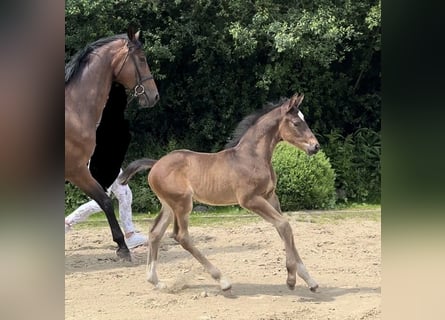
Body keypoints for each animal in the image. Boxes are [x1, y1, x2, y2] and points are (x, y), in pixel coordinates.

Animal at [64, 25, 158, 260]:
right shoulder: (77, 170)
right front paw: (122, 247)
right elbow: (105, 202)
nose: (154, 96)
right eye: (142, 59)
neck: (73, 110)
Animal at [118, 93, 320, 292]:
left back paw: (156, 281)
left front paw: (310, 280)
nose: (315, 146)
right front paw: (291, 279)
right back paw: (222, 280)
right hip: (182, 204)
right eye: (296, 123)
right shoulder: (250, 200)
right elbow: (284, 225)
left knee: (155, 233)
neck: (251, 157)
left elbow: (283, 229)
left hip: (168, 205)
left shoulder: (270, 197)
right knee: (181, 236)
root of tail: (155, 164)